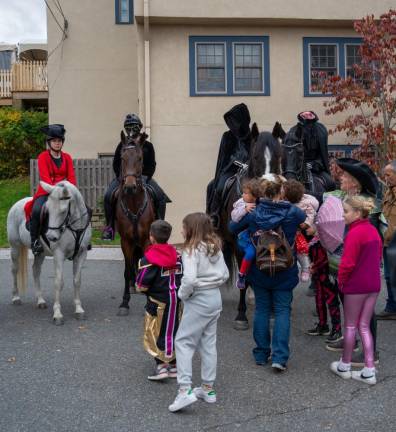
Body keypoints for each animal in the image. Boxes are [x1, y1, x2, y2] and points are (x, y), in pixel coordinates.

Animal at [7, 179, 91, 324]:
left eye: (63, 211)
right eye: (47, 210)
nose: (51, 237)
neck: (75, 227)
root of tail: (17, 204)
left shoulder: (81, 254)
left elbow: (77, 280)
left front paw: (79, 309)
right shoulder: (59, 255)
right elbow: (58, 282)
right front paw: (57, 314)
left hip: (40, 253)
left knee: (35, 270)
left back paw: (40, 300)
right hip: (15, 247)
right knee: (14, 269)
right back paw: (16, 297)